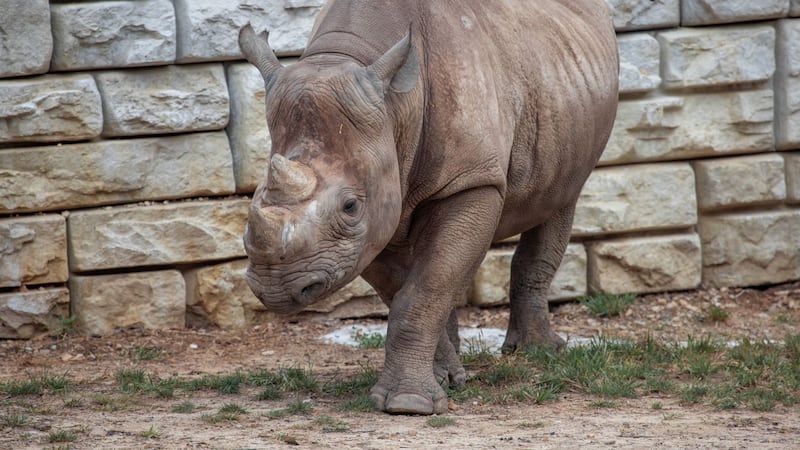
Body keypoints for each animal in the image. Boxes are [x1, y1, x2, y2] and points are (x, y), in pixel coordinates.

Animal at [239, 0, 619, 415]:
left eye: (350, 206)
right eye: (255, 199)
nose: (276, 289)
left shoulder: (471, 180)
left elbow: (426, 287)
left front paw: (409, 404)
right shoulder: (373, 221)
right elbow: (409, 288)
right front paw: (442, 380)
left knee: (559, 200)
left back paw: (539, 353)